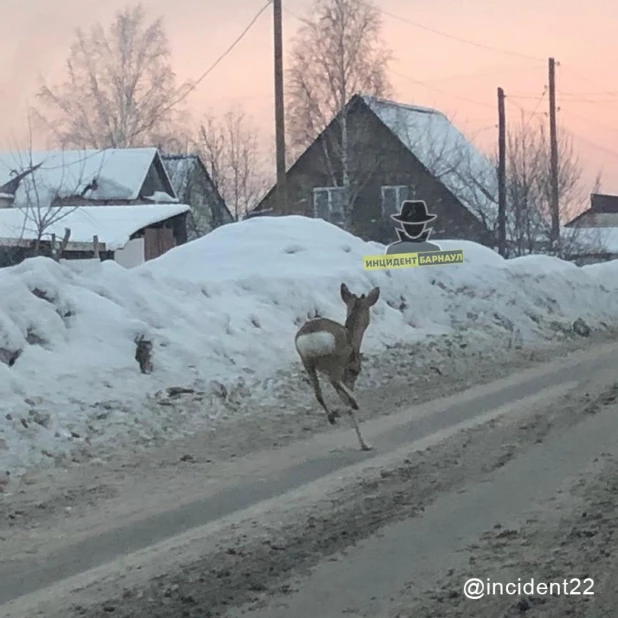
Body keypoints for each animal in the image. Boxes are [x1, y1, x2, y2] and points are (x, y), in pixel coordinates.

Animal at [292, 282, 376, 448]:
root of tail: (311, 338)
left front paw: (363, 443)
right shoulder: (350, 371)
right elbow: (347, 401)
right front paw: (365, 444)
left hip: (307, 362)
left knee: (318, 394)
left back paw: (332, 416)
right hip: (336, 359)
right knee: (334, 381)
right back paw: (353, 403)